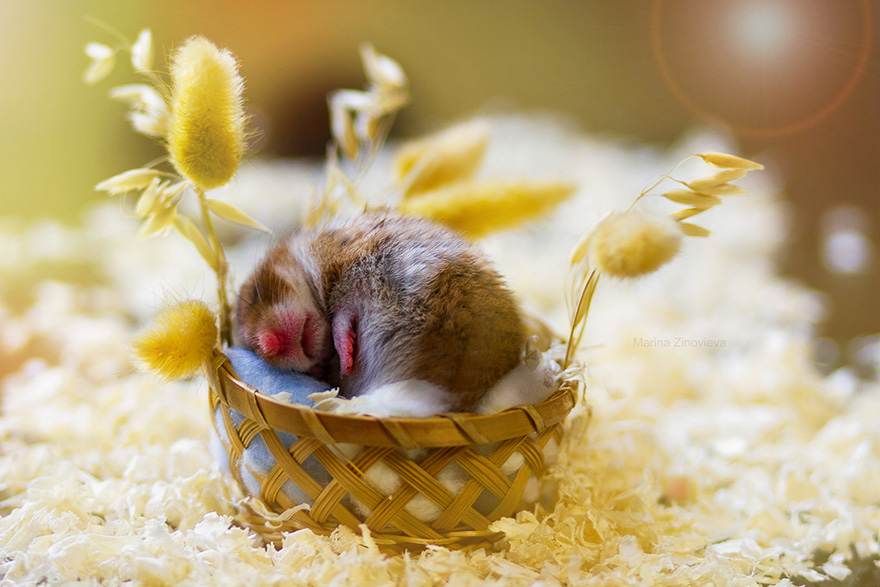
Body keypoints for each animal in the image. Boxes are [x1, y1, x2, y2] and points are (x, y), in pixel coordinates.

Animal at [234, 211, 526, 412]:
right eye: (253, 349)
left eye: (255, 296)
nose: (270, 345)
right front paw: (338, 364)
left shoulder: (354, 271)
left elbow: (342, 316)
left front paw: (347, 358)